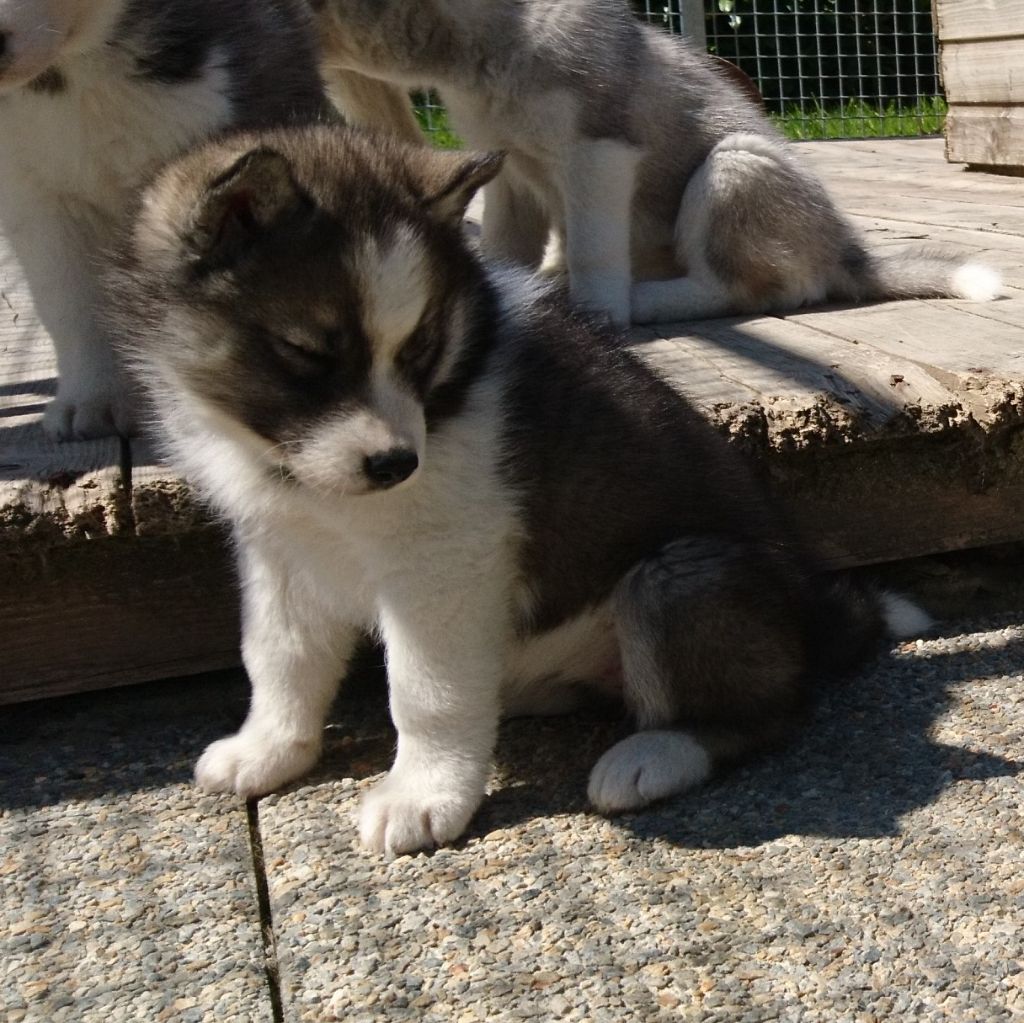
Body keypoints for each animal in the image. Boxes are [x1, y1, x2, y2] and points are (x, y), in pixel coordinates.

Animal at [105, 123, 929, 860]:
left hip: (685, 576)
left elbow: (425, 688)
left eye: (421, 349)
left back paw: (654, 753)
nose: (396, 465)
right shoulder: (280, 547)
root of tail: (814, 617)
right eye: (306, 353)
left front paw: (423, 794)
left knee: (767, 710)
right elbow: (277, 654)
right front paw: (270, 747)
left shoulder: (444, 559)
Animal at [313, 0, 999, 325]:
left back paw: (646, 300)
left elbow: (594, 255)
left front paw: (599, 314)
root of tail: (846, 252)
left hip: (733, 166)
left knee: (760, 288)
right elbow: (506, 247)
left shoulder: (599, 152)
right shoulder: (510, 174)